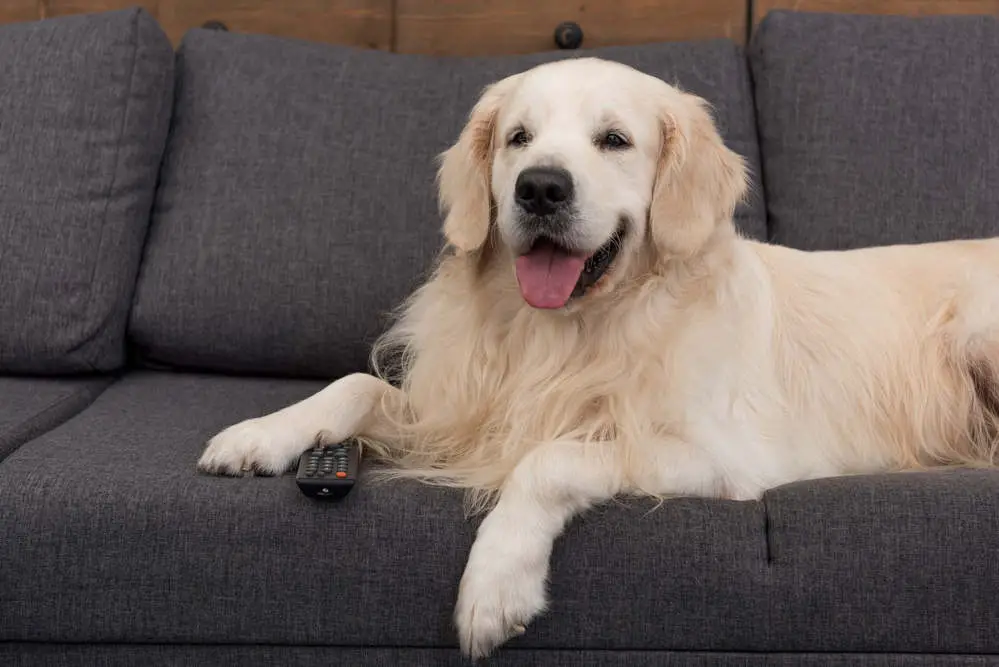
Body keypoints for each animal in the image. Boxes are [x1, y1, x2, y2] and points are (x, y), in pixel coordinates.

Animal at [199, 56, 999, 656]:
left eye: (614, 140)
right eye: (518, 138)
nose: (540, 187)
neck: (568, 332)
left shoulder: (721, 456)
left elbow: (549, 457)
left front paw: (496, 582)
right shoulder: (455, 413)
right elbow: (355, 384)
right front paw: (260, 435)